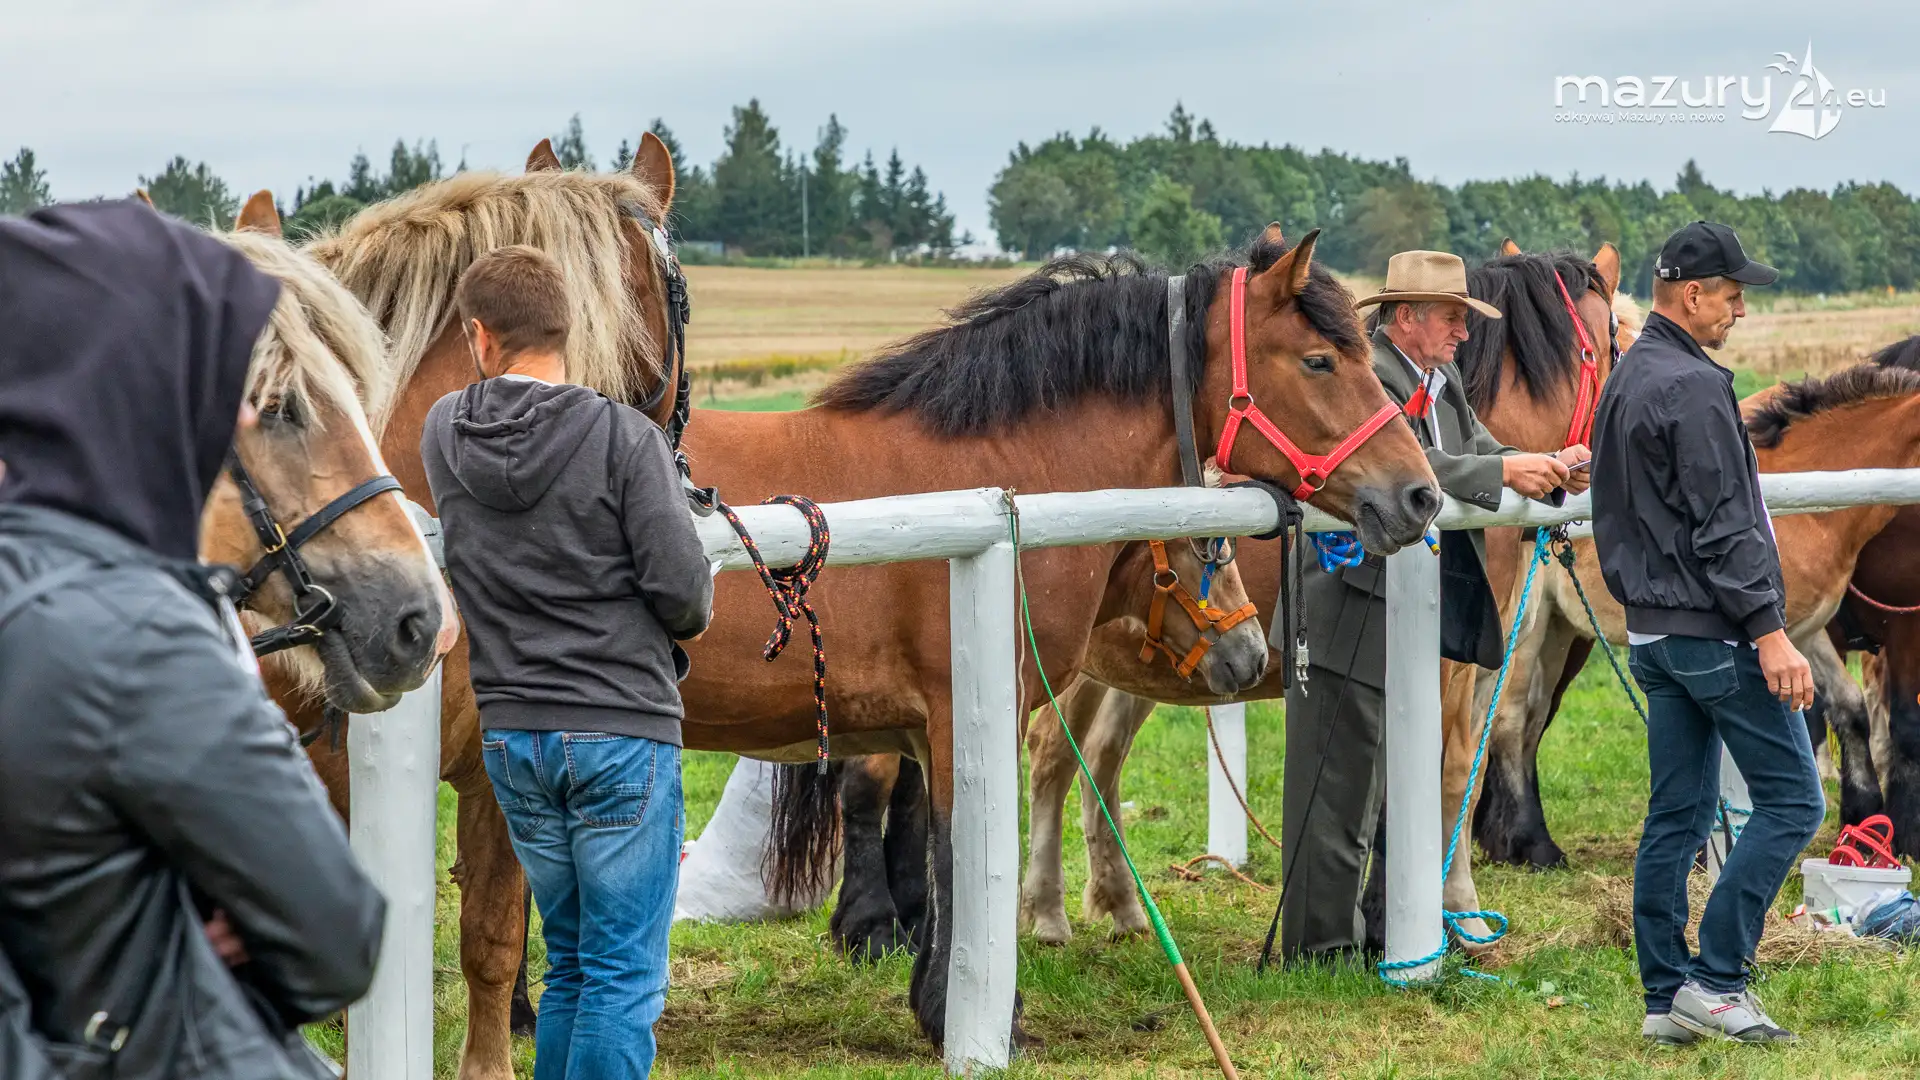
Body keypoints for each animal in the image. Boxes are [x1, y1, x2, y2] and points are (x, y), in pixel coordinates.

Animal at [1475, 362, 1920, 875]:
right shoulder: (1776, 639)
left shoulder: (1807, 634)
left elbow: (1851, 711)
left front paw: (1864, 822)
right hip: (1527, 628)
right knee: (1509, 720)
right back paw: (1535, 844)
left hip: (1559, 630)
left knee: (1533, 719)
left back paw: (1513, 842)